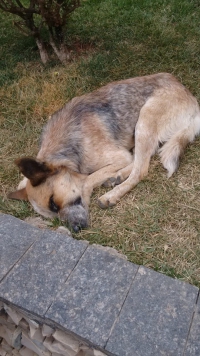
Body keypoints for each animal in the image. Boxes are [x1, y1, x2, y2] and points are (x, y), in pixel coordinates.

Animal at [8, 73, 200, 232]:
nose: (76, 229)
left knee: (141, 169)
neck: (65, 149)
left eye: (54, 203)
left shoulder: (119, 157)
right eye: (53, 215)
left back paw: (112, 194)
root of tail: (190, 97)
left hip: (144, 118)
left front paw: (88, 190)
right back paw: (116, 177)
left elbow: (88, 179)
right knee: (141, 159)